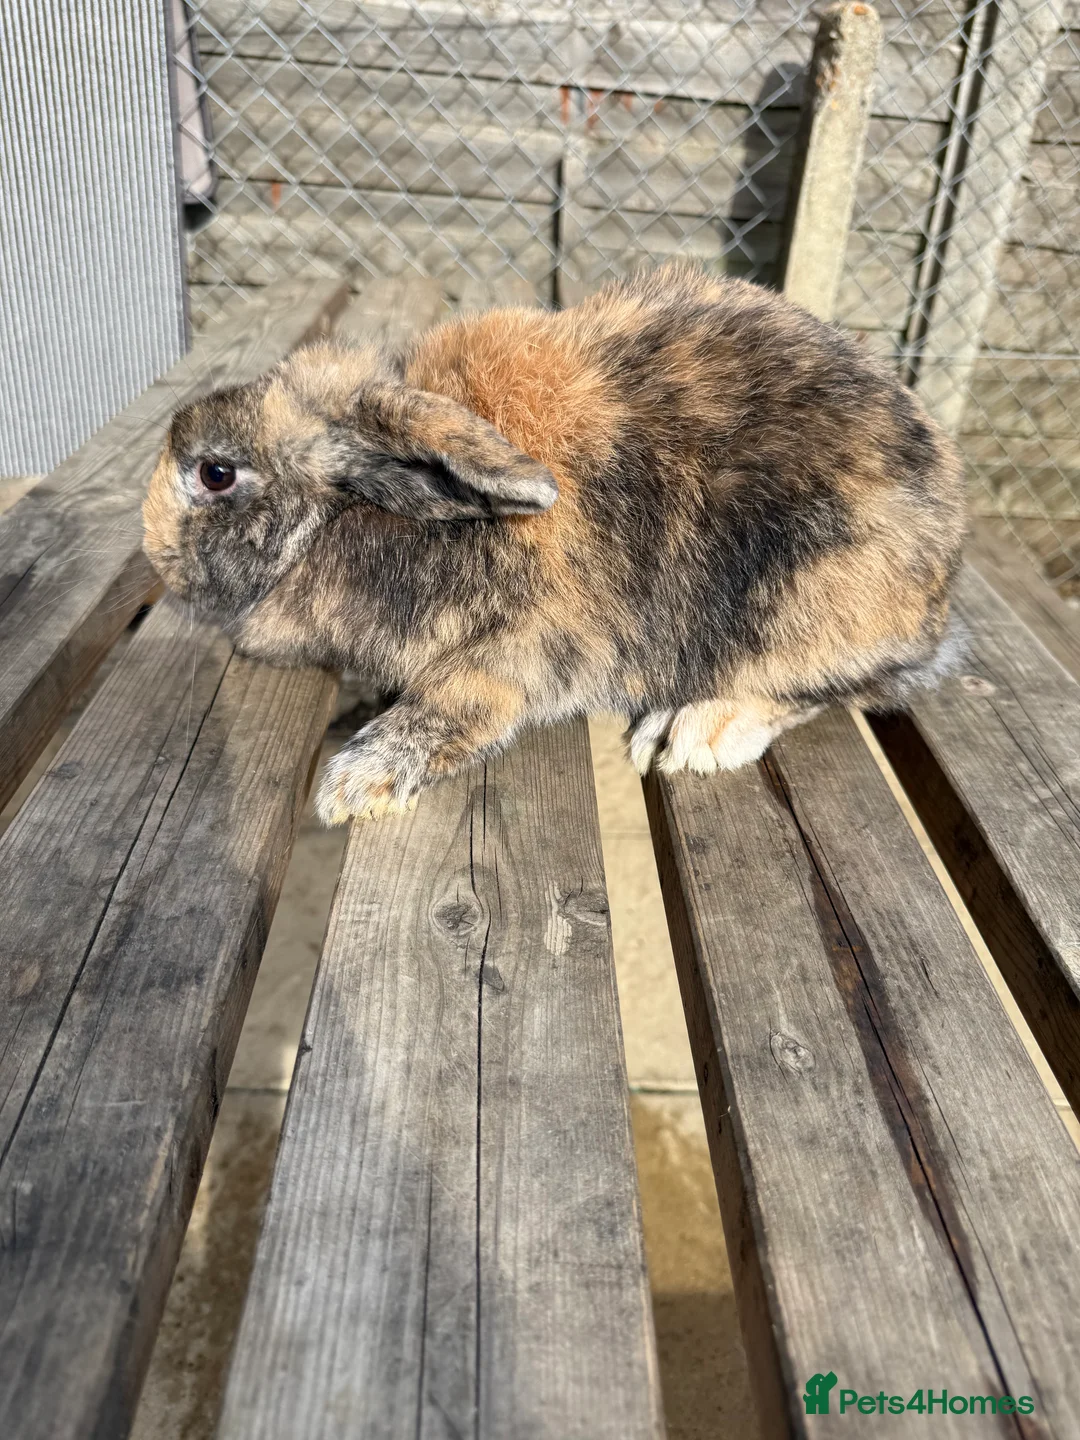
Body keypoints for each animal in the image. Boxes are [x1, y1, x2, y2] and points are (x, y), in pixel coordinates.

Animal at [144, 262, 965, 826]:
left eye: (215, 473)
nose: (152, 553)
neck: (365, 515)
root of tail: (943, 578)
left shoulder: (517, 657)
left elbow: (455, 707)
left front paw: (355, 784)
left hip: (805, 606)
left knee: (836, 688)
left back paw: (694, 732)